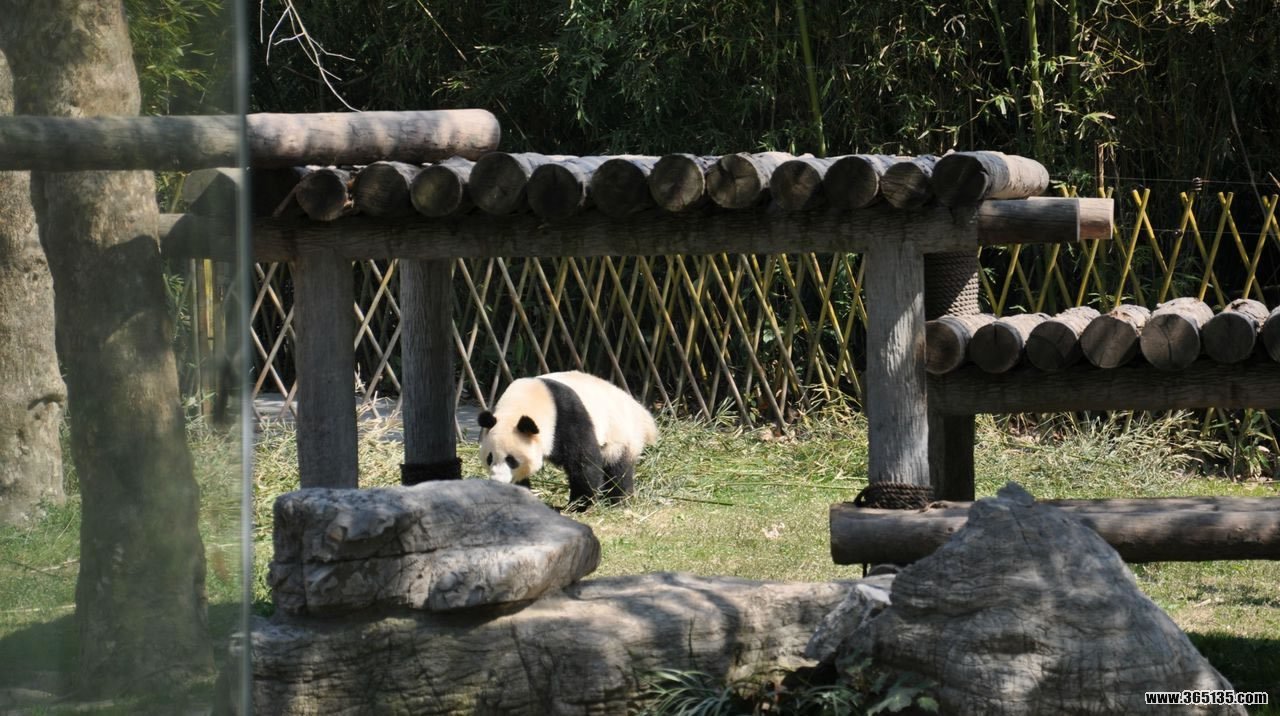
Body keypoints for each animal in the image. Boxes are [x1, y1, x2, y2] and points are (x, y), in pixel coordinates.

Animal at [477, 370, 658, 510]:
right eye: (490, 458)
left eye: (511, 460)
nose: (497, 481)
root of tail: (640, 410)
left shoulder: (567, 416)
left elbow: (583, 461)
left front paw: (580, 504)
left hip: (621, 432)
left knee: (618, 468)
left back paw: (617, 501)